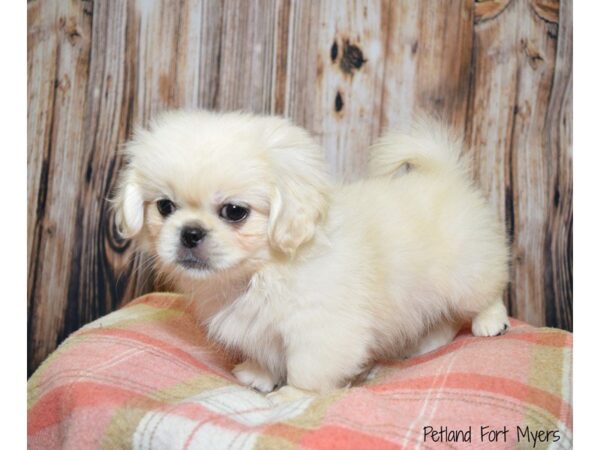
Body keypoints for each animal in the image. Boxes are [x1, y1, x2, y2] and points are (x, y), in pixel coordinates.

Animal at [111, 110, 506, 396]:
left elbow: (307, 370)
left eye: (235, 211)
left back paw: (491, 323)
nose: (190, 232)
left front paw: (291, 397)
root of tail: (445, 175)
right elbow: (264, 354)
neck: (260, 274)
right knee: (444, 321)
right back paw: (426, 344)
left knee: (487, 294)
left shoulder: (321, 330)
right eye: (165, 206)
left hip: (466, 275)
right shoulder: (257, 330)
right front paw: (258, 376)